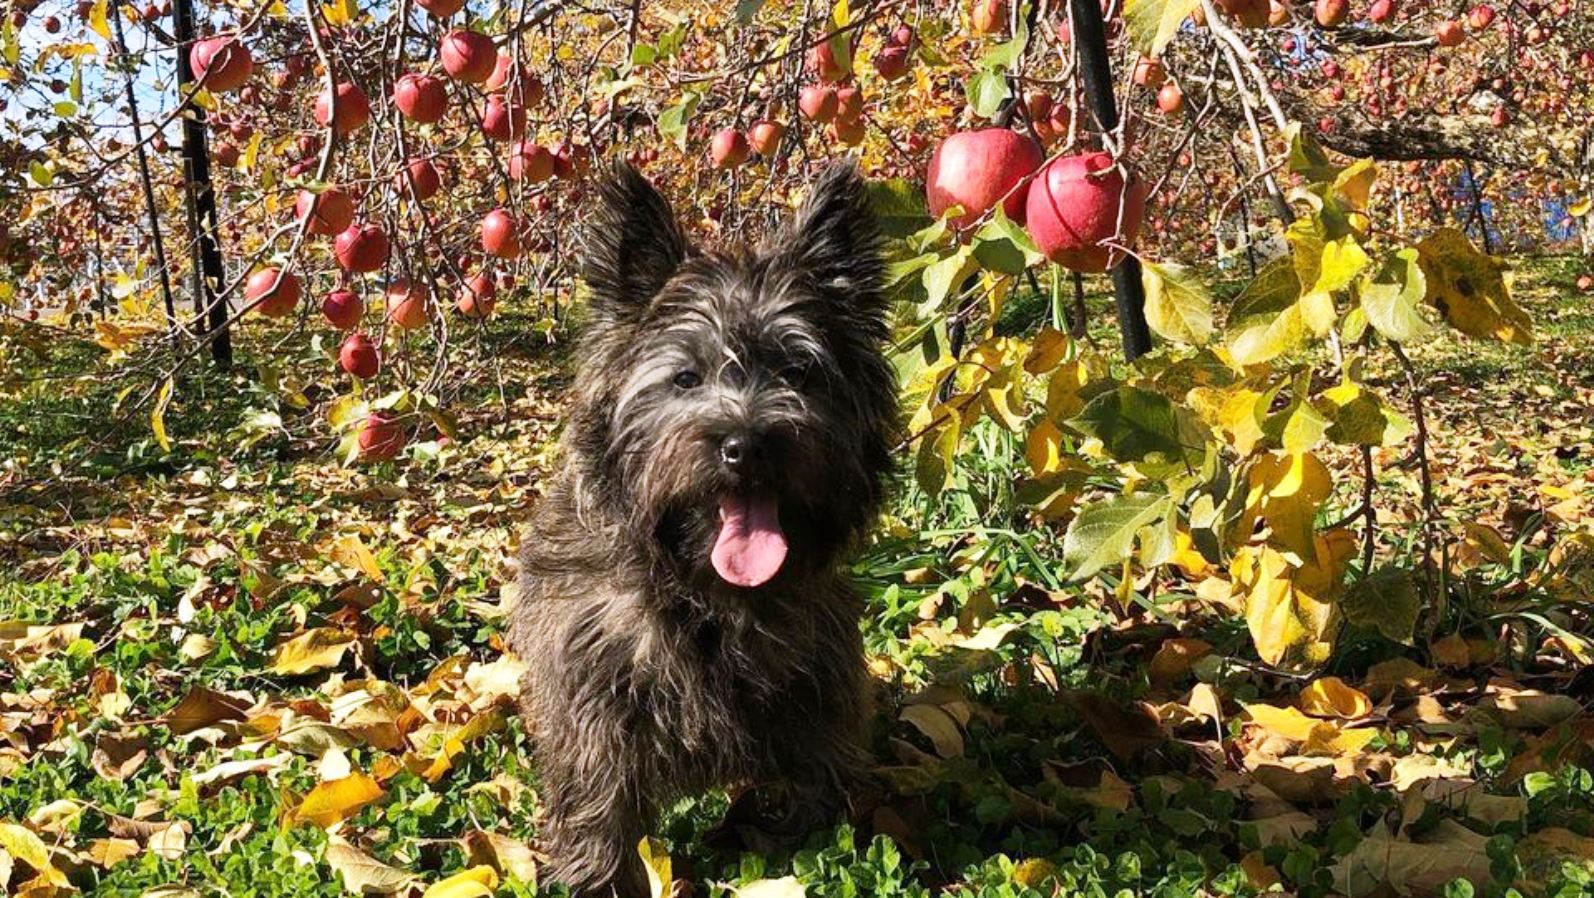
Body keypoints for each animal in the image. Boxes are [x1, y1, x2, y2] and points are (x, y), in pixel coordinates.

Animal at [513, 157, 899, 893]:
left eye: (798, 370)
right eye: (686, 377)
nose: (747, 445)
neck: (707, 592)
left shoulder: (821, 677)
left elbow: (817, 775)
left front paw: (808, 840)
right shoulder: (593, 693)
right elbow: (600, 799)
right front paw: (598, 877)